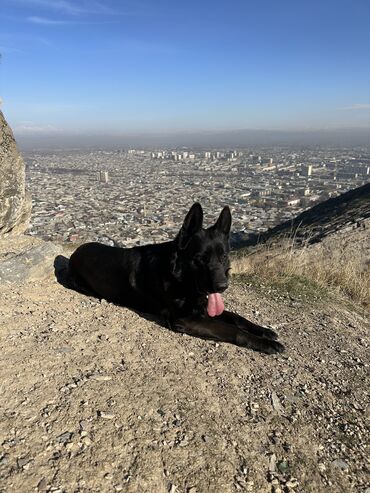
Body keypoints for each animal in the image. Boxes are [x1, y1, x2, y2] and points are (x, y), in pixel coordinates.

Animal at [68, 204, 284, 354]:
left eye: (223, 257)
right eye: (200, 258)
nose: (222, 286)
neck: (178, 275)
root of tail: (75, 251)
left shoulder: (203, 307)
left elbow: (237, 317)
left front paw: (264, 331)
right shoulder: (186, 318)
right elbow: (230, 328)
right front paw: (265, 343)